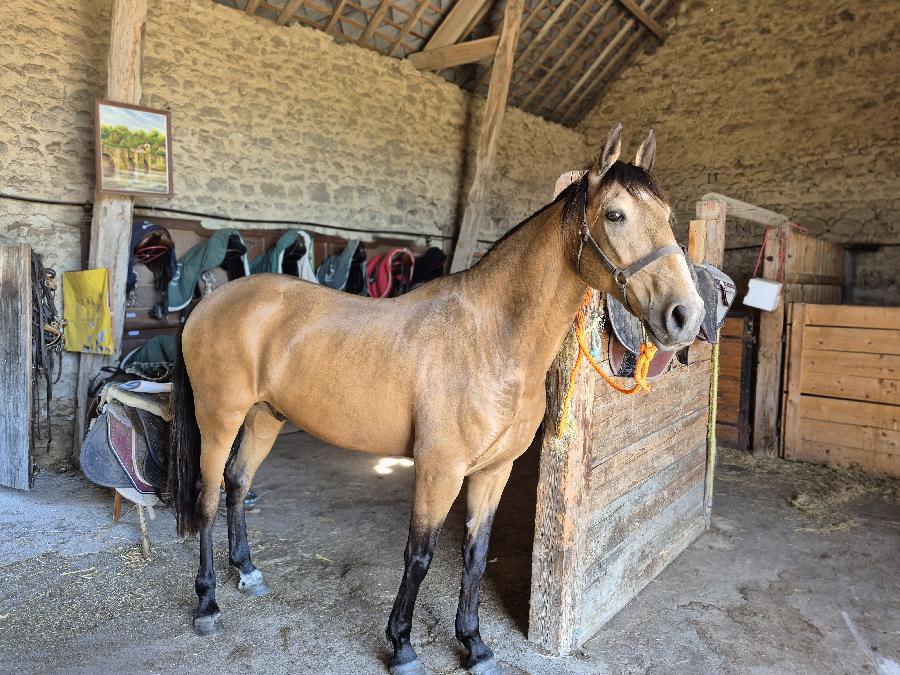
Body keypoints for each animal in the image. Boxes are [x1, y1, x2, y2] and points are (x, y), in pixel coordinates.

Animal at [167, 123, 705, 674]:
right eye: (615, 214)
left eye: (668, 216)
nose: (687, 316)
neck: (491, 339)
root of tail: (210, 303)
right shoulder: (438, 469)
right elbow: (419, 556)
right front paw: (402, 646)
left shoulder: (494, 471)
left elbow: (475, 555)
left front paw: (475, 644)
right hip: (219, 418)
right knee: (207, 496)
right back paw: (207, 604)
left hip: (264, 417)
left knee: (237, 483)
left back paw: (248, 572)